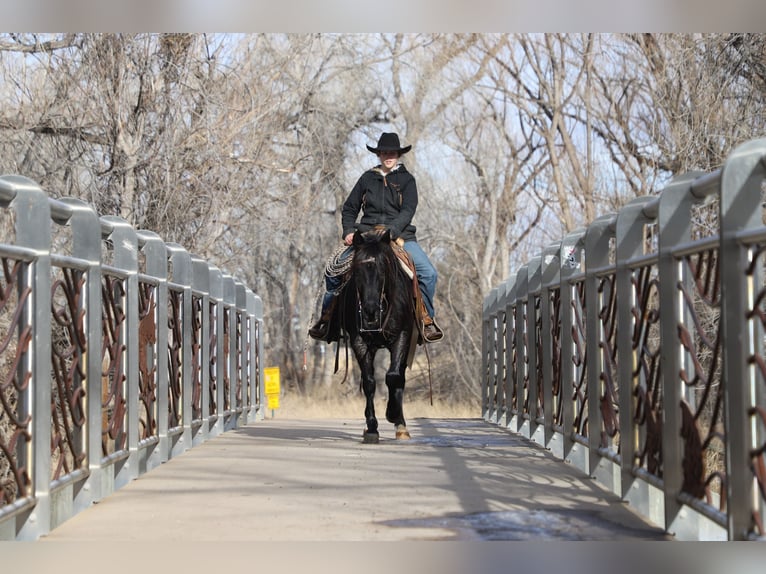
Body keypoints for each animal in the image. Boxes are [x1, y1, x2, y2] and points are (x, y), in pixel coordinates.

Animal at [340, 228, 416, 443]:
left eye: (383, 268)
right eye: (357, 271)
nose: (370, 310)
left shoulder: (402, 336)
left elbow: (393, 377)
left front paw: (393, 415)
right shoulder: (359, 341)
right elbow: (369, 382)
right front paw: (372, 426)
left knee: (400, 378)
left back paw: (401, 424)